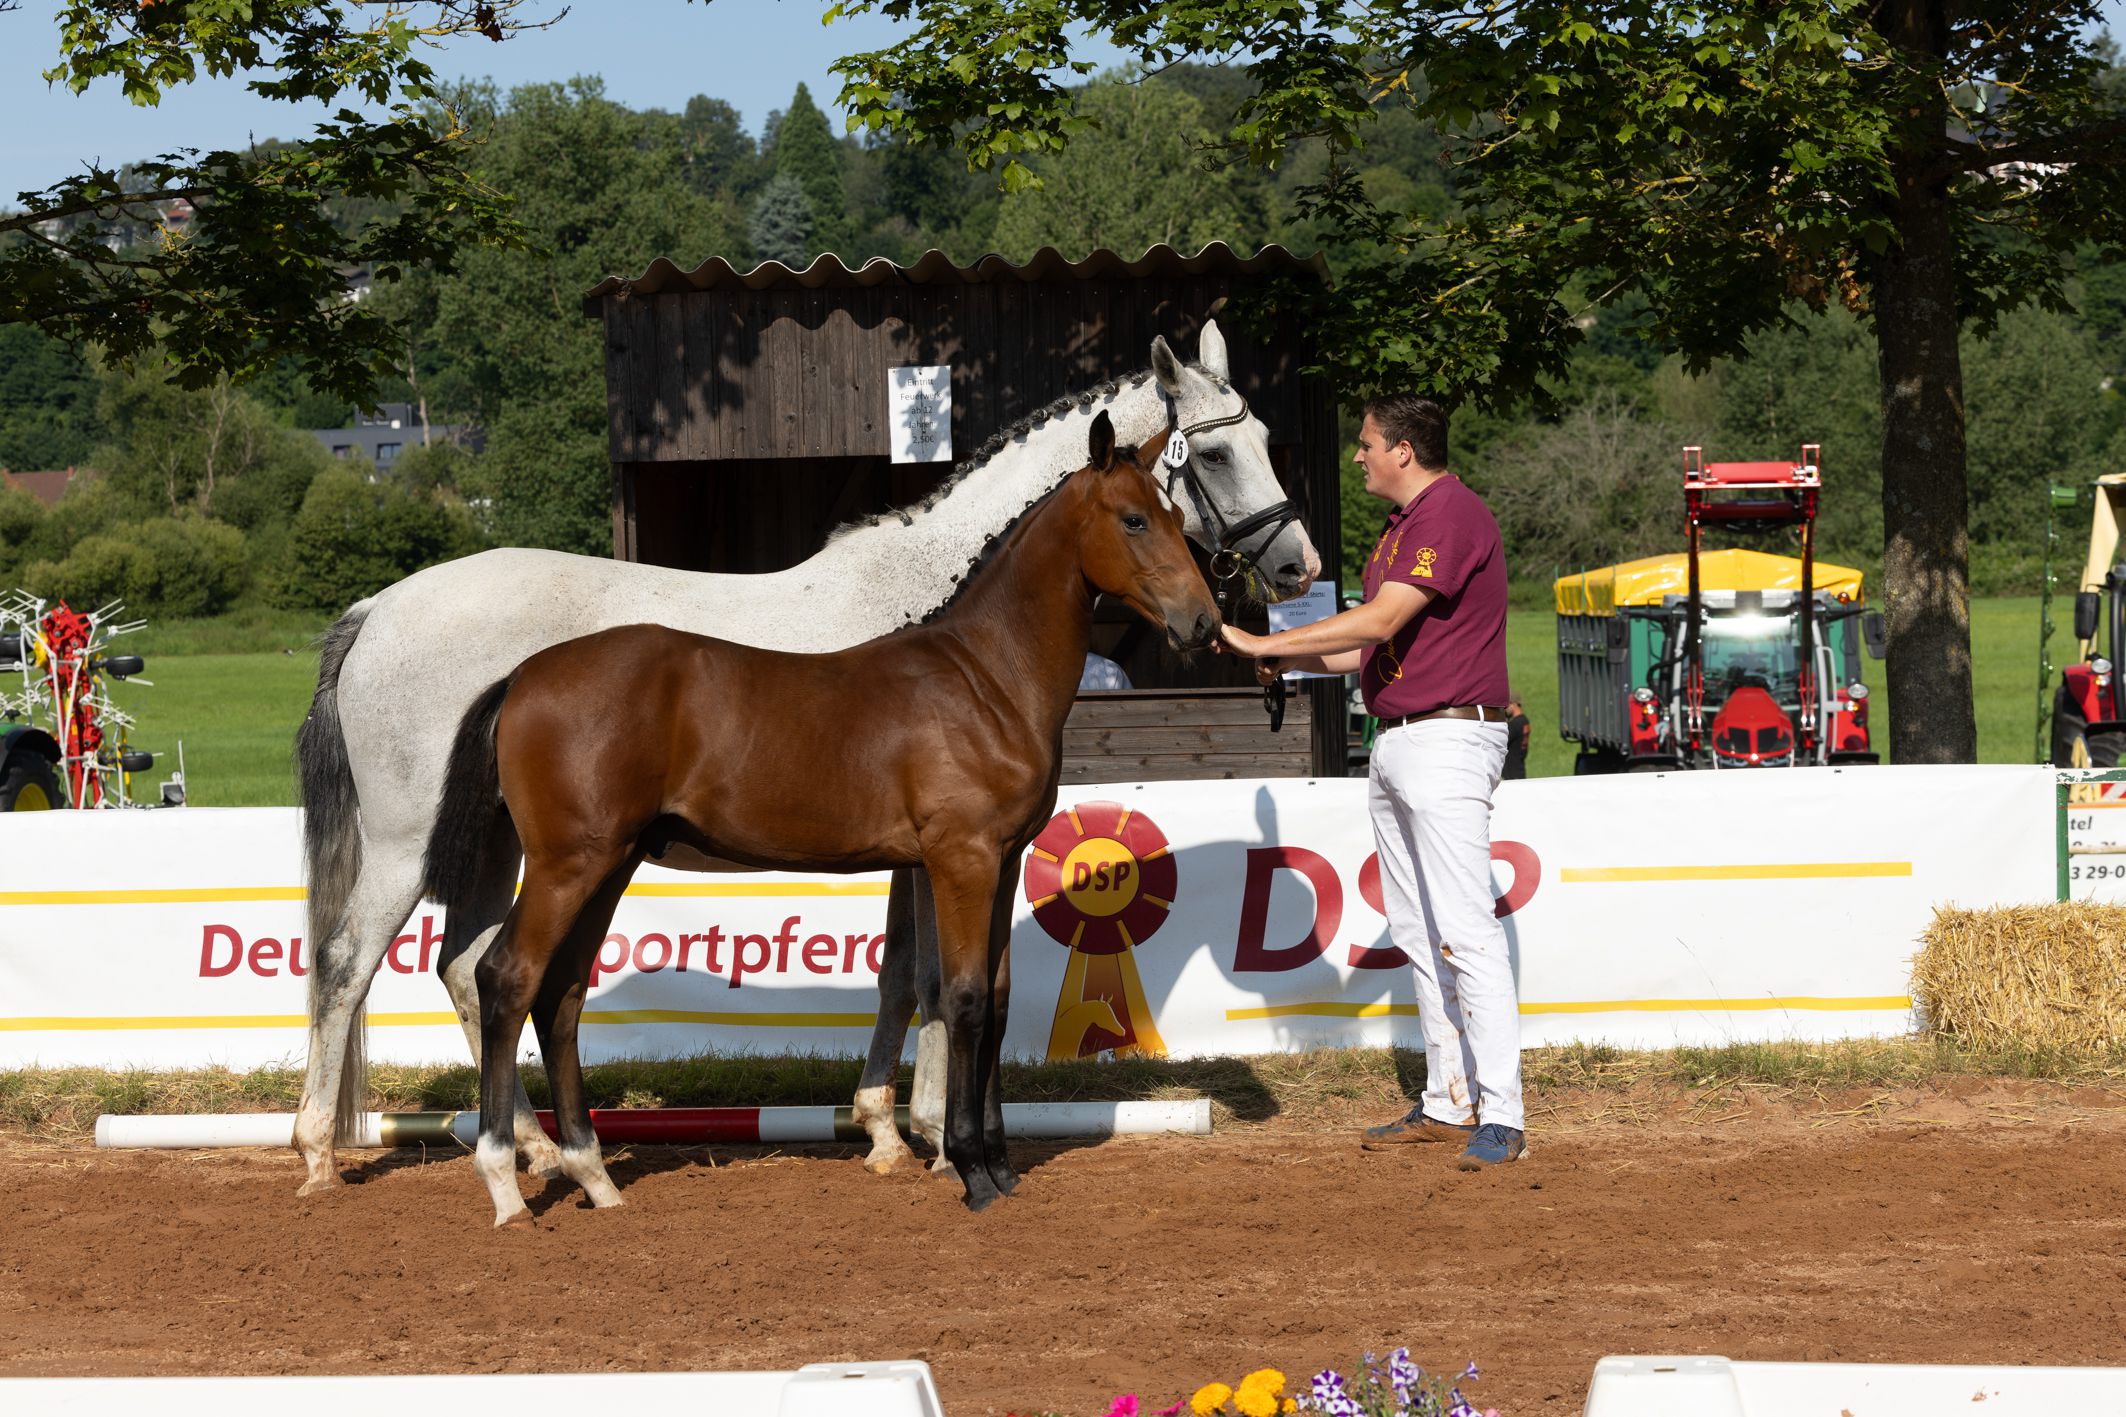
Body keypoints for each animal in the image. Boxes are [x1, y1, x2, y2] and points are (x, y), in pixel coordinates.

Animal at [423, 412, 1224, 1232]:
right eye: (1133, 519)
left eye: (1177, 515)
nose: (1203, 622)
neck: (986, 677)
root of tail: (522, 676)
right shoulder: (960, 860)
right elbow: (964, 999)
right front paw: (969, 1167)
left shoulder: (1001, 862)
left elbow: (996, 1004)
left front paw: (999, 1165)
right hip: (567, 866)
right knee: (506, 977)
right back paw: (508, 1182)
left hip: (609, 864)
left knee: (562, 996)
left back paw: (594, 1174)